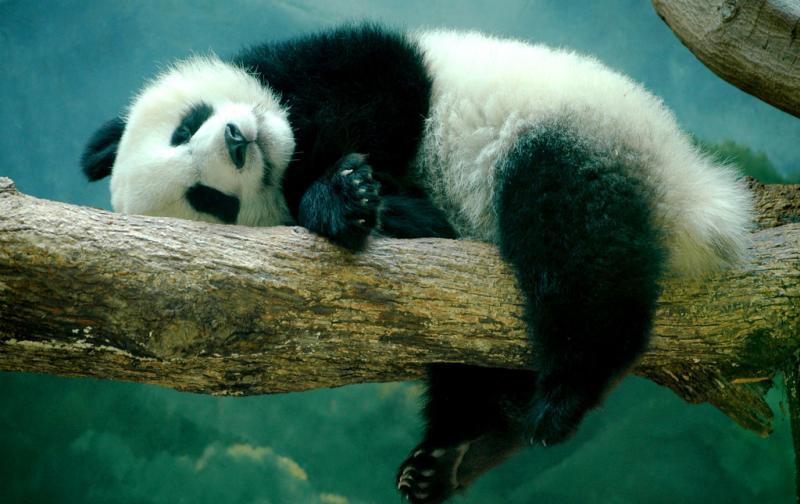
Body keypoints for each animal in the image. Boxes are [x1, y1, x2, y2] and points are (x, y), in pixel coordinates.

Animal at [81, 24, 751, 503]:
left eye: (185, 125)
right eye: (208, 199)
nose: (238, 142)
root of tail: (691, 197)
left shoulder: (345, 64)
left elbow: (379, 86)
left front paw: (341, 187)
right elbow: (423, 225)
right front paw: (358, 201)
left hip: (582, 131)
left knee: (577, 243)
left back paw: (560, 396)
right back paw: (459, 453)